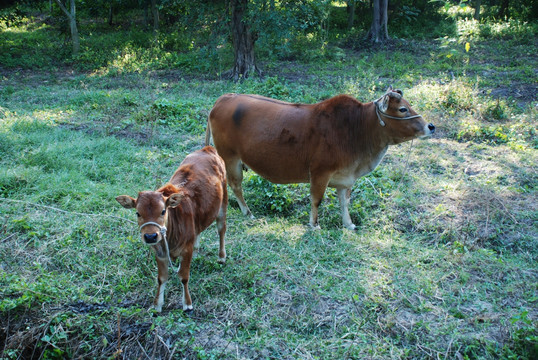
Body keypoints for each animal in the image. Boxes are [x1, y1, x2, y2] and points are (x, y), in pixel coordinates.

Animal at [115, 146, 226, 312]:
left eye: (163, 211)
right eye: (137, 213)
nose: (150, 236)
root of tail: (207, 149)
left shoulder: (186, 250)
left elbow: (184, 276)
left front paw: (187, 303)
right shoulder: (159, 252)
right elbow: (161, 278)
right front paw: (157, 304)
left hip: (223, 201)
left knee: (221, 229)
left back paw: (221, 257)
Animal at [203, 86, 434, 229]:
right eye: (403, 109)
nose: (430, 126)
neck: (356, 128)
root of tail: (223, 99)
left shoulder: (345, 178)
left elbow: (344, 202)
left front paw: (348, 223)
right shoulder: (320, 172)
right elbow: (317, 199)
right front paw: (314, 225)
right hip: (230, 158)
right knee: (235, 186)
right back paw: (247, 212)